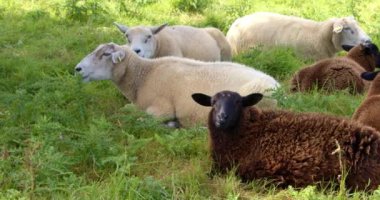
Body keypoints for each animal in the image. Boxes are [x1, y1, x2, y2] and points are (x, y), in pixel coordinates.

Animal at [74, 43, 280, 128]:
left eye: (105, 55)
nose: (77, 69)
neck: (143, 76)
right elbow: (125, 110)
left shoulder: (162, 109)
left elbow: (141, 120)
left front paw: (171, 123)